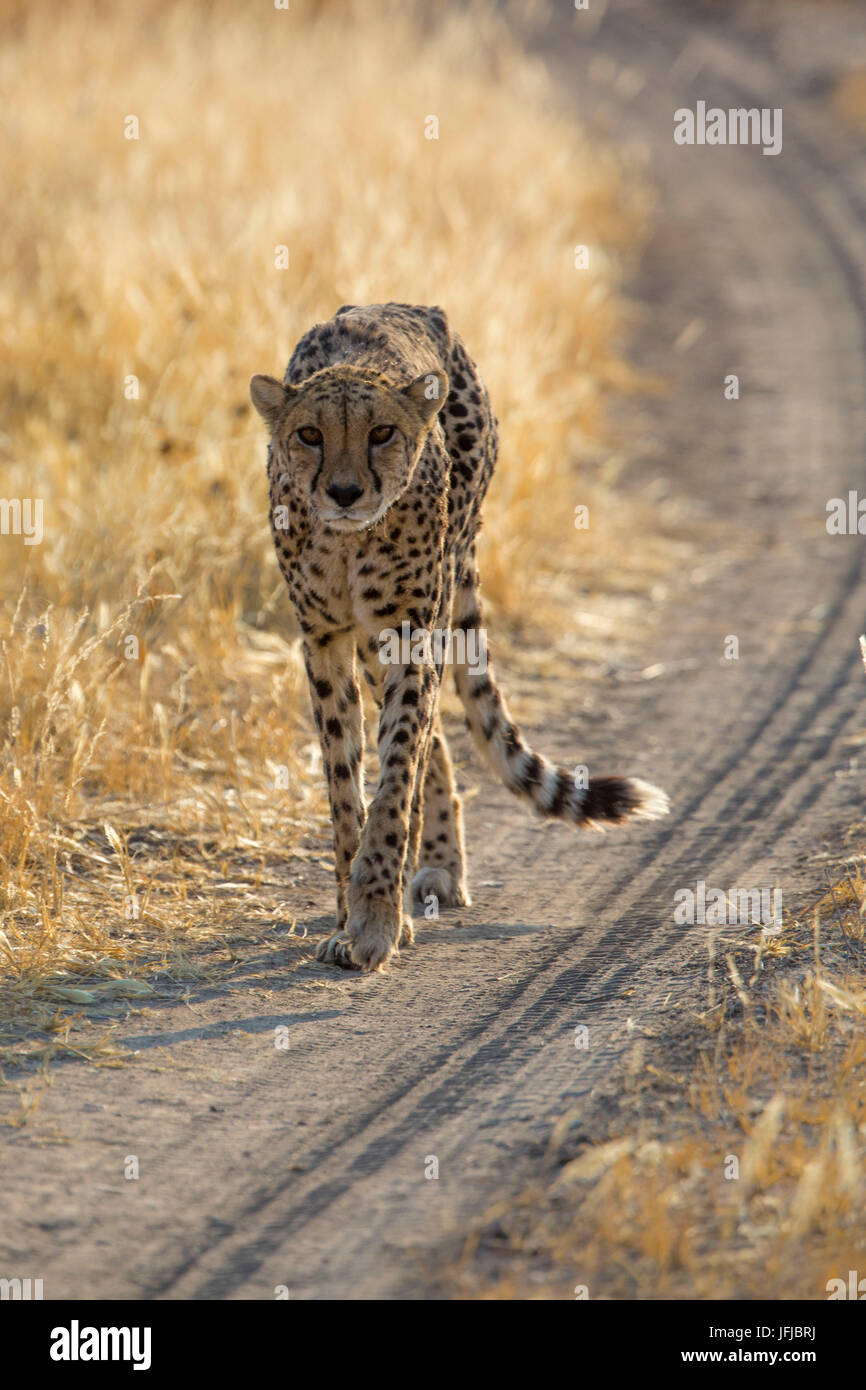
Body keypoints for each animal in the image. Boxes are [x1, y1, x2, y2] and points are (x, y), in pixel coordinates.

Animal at [250, 304, 670, 973]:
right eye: (309, 434)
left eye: (382, 433)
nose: (343, 492)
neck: (348, 541)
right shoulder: (324, 641)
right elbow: (345, 784)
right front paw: (348, 915)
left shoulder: (409, 633)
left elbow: (397, 776)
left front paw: (376, 918)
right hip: (374, 642)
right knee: (433, 738)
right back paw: (433, 867)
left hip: (430, 601)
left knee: (423, 741)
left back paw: (431, 872)